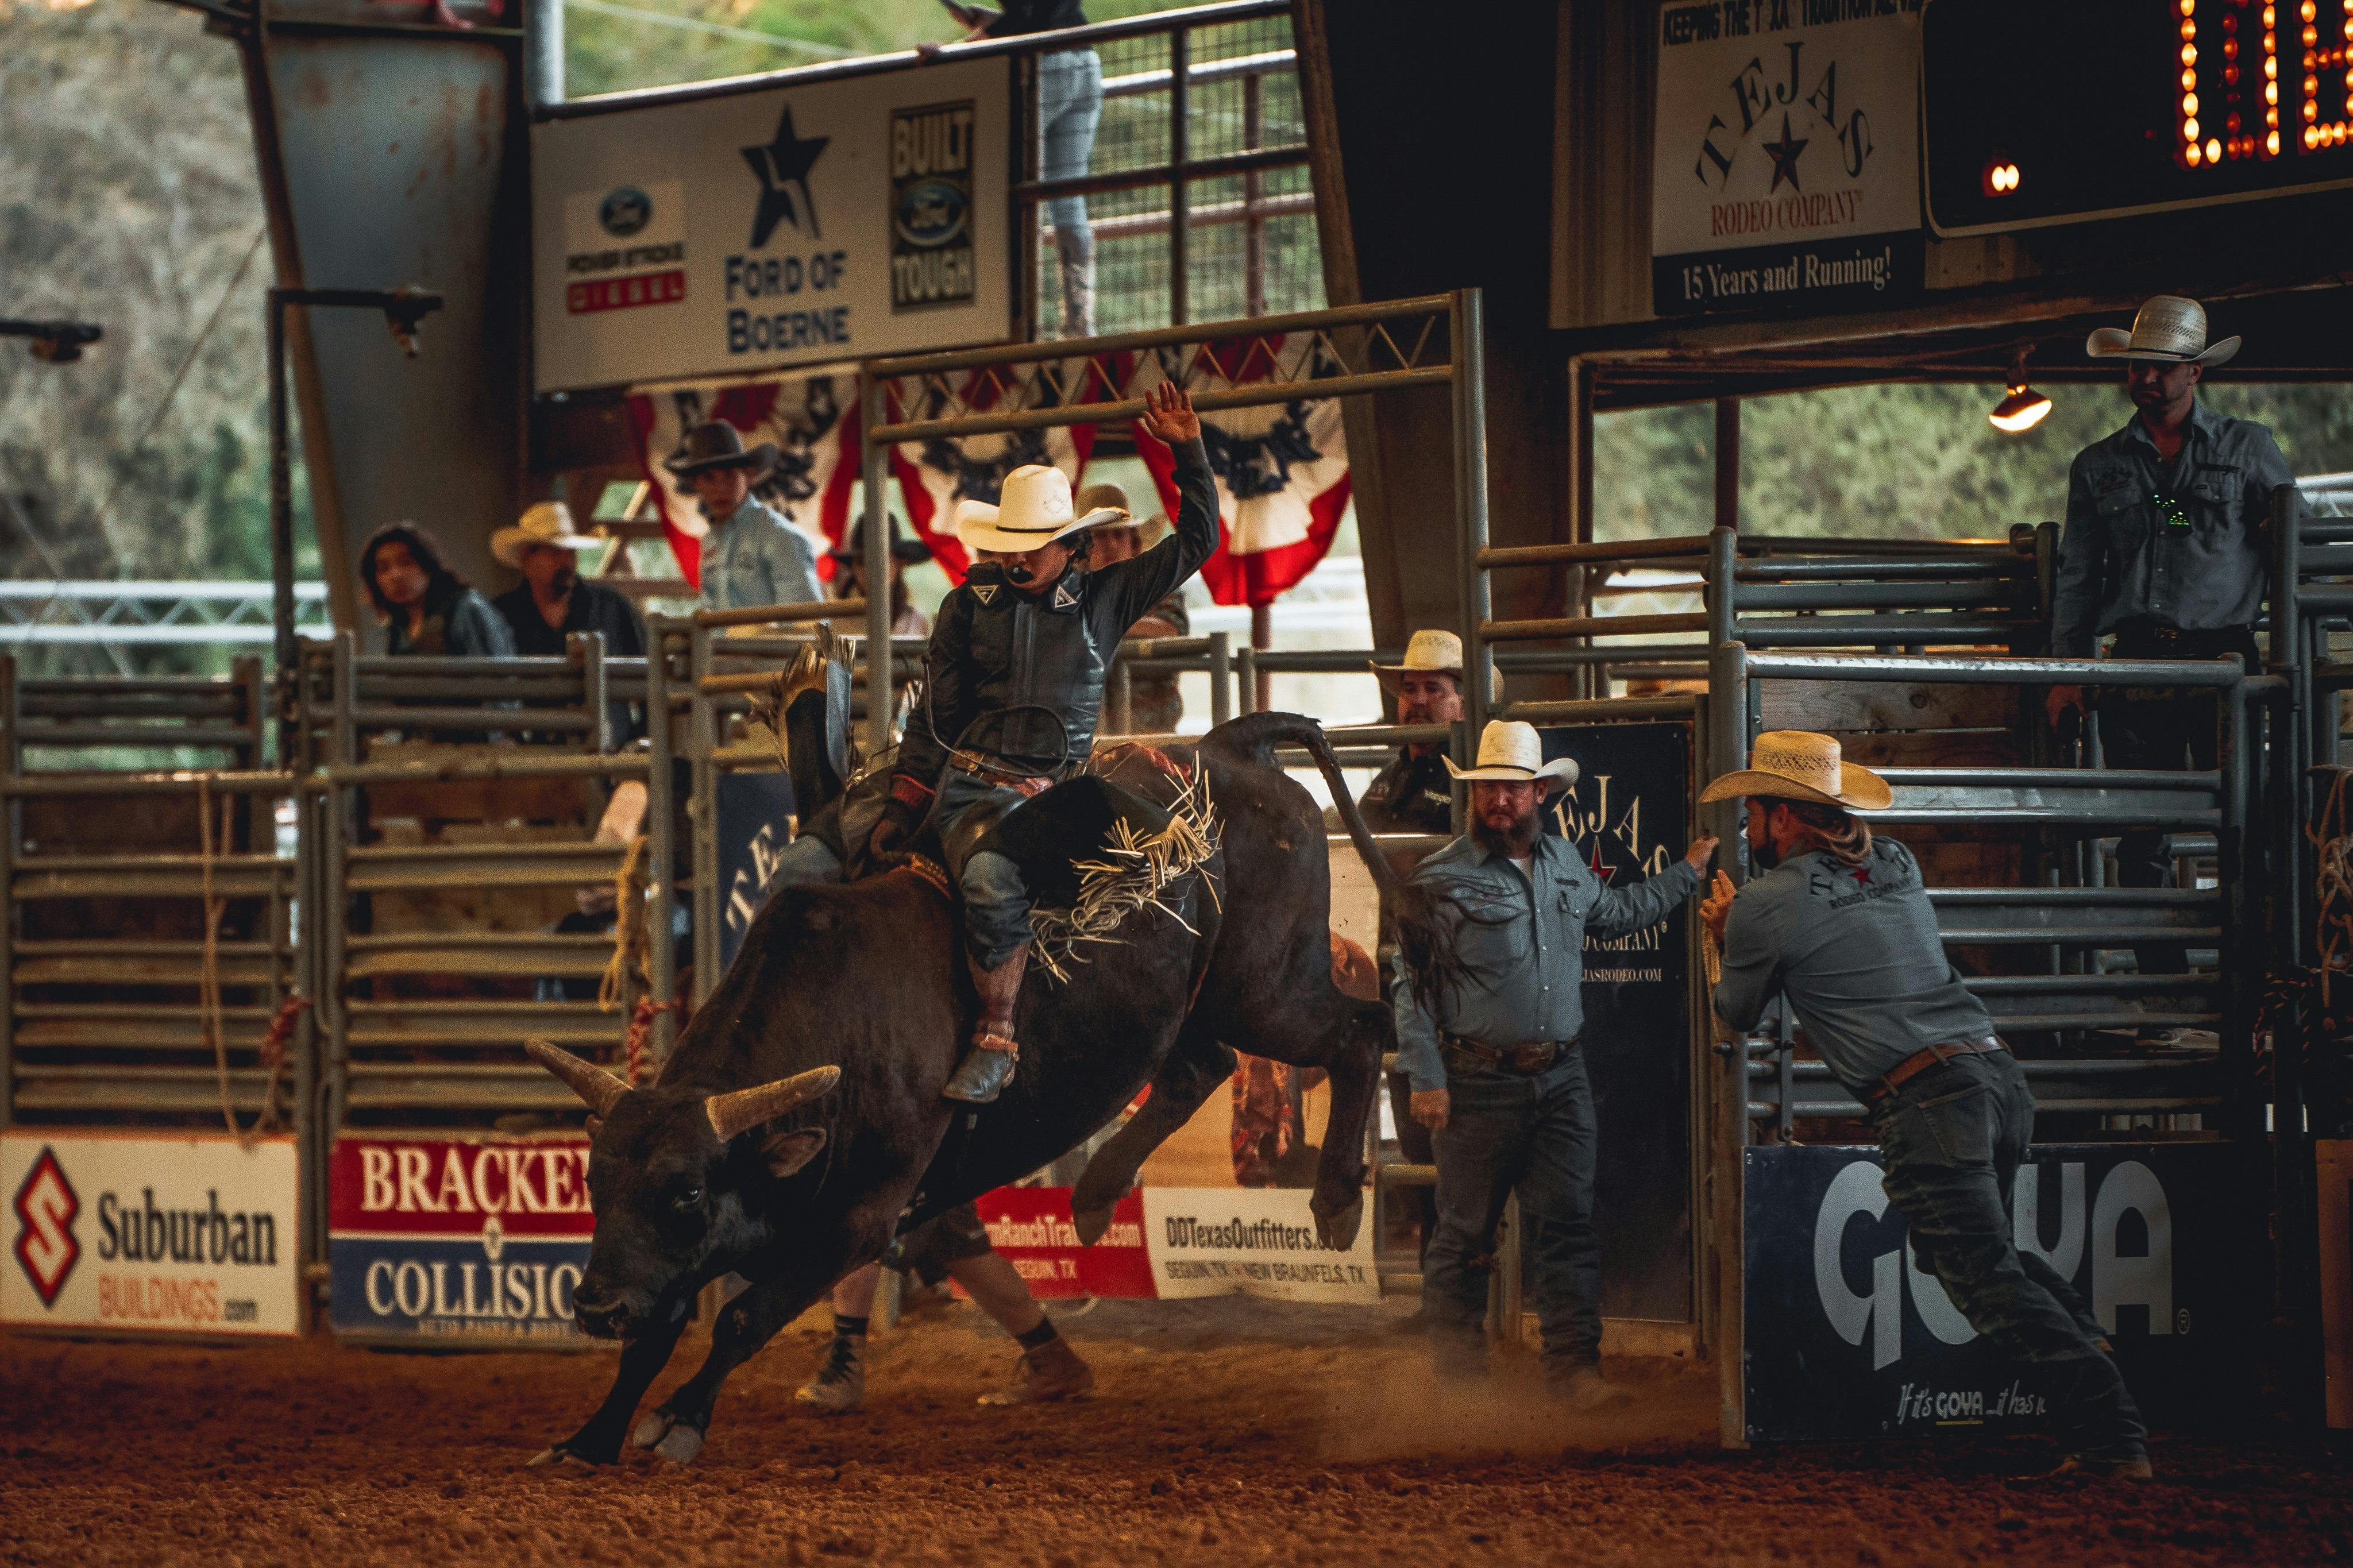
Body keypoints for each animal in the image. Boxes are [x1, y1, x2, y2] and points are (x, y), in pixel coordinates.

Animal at [522, 712, 1403, 1467]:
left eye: (688, 1191)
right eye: (595, 1183)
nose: (593, 1309)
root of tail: (1226, 746)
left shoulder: (857, 1220)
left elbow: (742, 1316)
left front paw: (676, 1419)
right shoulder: (679, 1259)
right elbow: (654, 1330)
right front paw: (590, 1437)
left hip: (1265, 987)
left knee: (1360, 1031)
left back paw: (1336, 1200)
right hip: (1178, 1005)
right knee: (1200, 1069)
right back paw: (1097, 1191)